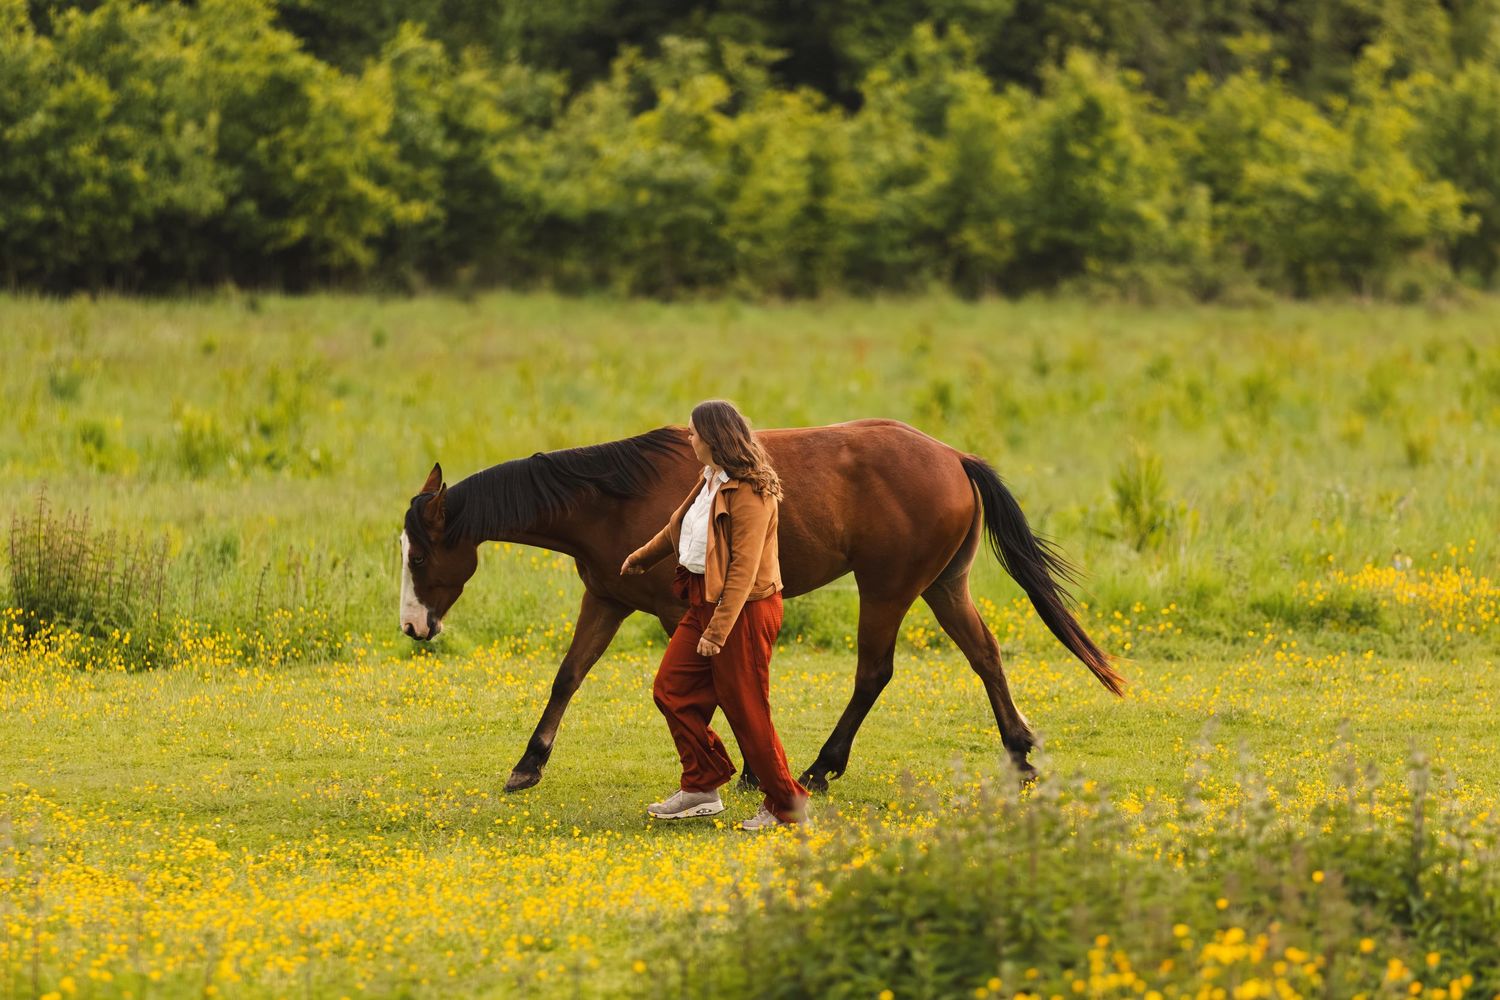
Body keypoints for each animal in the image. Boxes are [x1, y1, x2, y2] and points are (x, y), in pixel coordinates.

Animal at [400, 419, 1122, 793]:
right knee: (985, 656)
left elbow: (714, 683)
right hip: (943, 586)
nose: (413, 626)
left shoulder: (680, 614)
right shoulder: (606, 599)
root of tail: (953, 456)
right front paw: (528, 764)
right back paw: (1019, 752)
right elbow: (567, 677)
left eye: (419, 556)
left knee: (874, 673)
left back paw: (823, 766)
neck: (613, 498)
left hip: (887, 590)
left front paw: (741, 770)